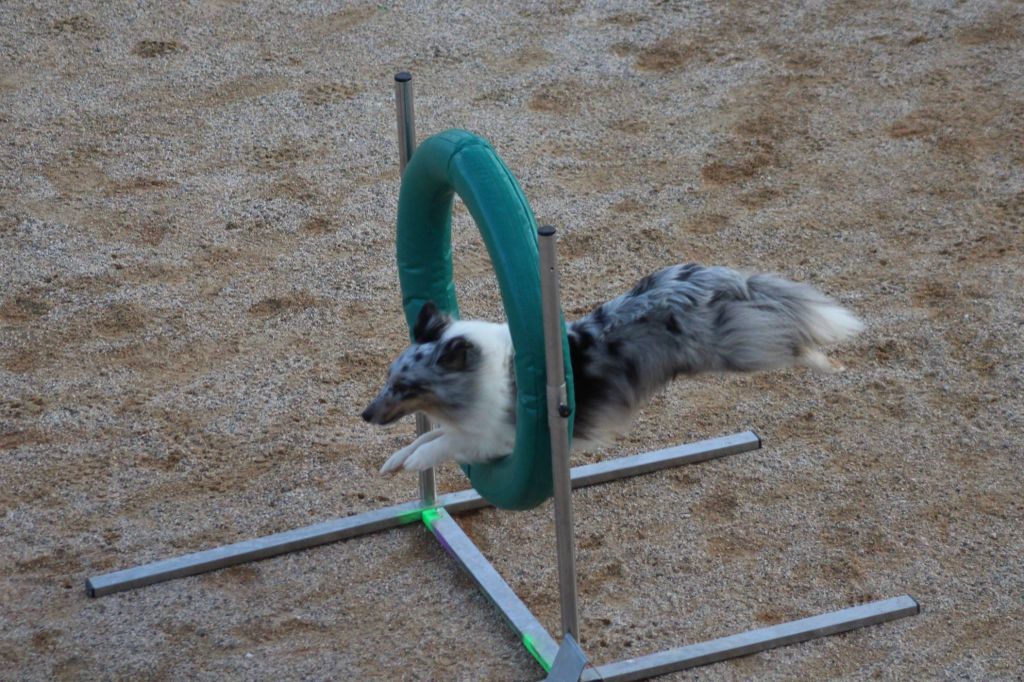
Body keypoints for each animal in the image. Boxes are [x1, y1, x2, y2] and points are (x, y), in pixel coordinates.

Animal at [364, 261, 860, 473]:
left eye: (407, 387)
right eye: (388, 380)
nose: (365, 415)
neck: (478, 377)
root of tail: (710, 279)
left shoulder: (498, 438)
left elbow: (444, 442)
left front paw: (414, 460)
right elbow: (429, 435)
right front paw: (396, 459)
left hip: (741, 348)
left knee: (791, 339)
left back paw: (828, 361)